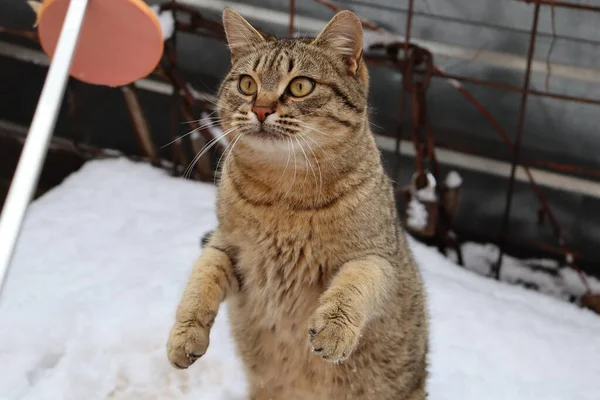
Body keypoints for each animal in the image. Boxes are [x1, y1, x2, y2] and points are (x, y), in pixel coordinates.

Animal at [166, 7, 428, 398]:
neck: (283, 196)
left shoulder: (379, 256)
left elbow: (356, 283)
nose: (261, 109)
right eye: (247, 84)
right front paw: (184, 334)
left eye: (300, 86)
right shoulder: (226, 245)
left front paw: (334, 328)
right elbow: (200, 281)